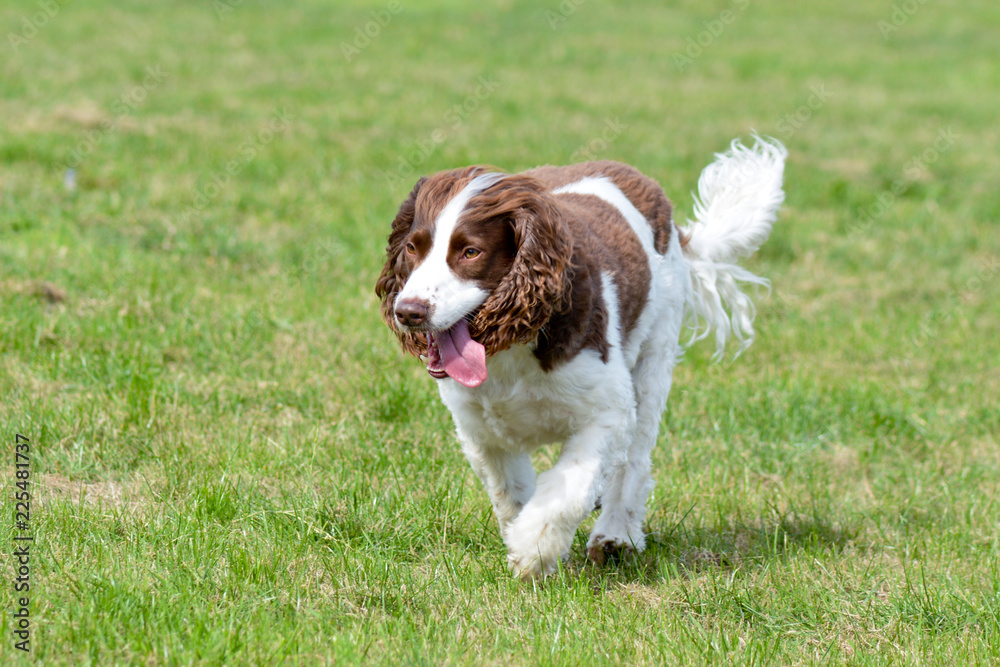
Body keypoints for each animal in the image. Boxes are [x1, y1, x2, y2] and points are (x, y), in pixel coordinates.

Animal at [376, 137, 788, 580]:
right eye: (412, 248)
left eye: (471, 251)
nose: (408, 312)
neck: (512, 348)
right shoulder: (480, 430)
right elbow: (511, 493)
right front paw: (530, 547)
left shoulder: (609, 411)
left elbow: (568, 488)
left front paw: (533, 551)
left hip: (654, 355)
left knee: (634, 459)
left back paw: (617, 536)